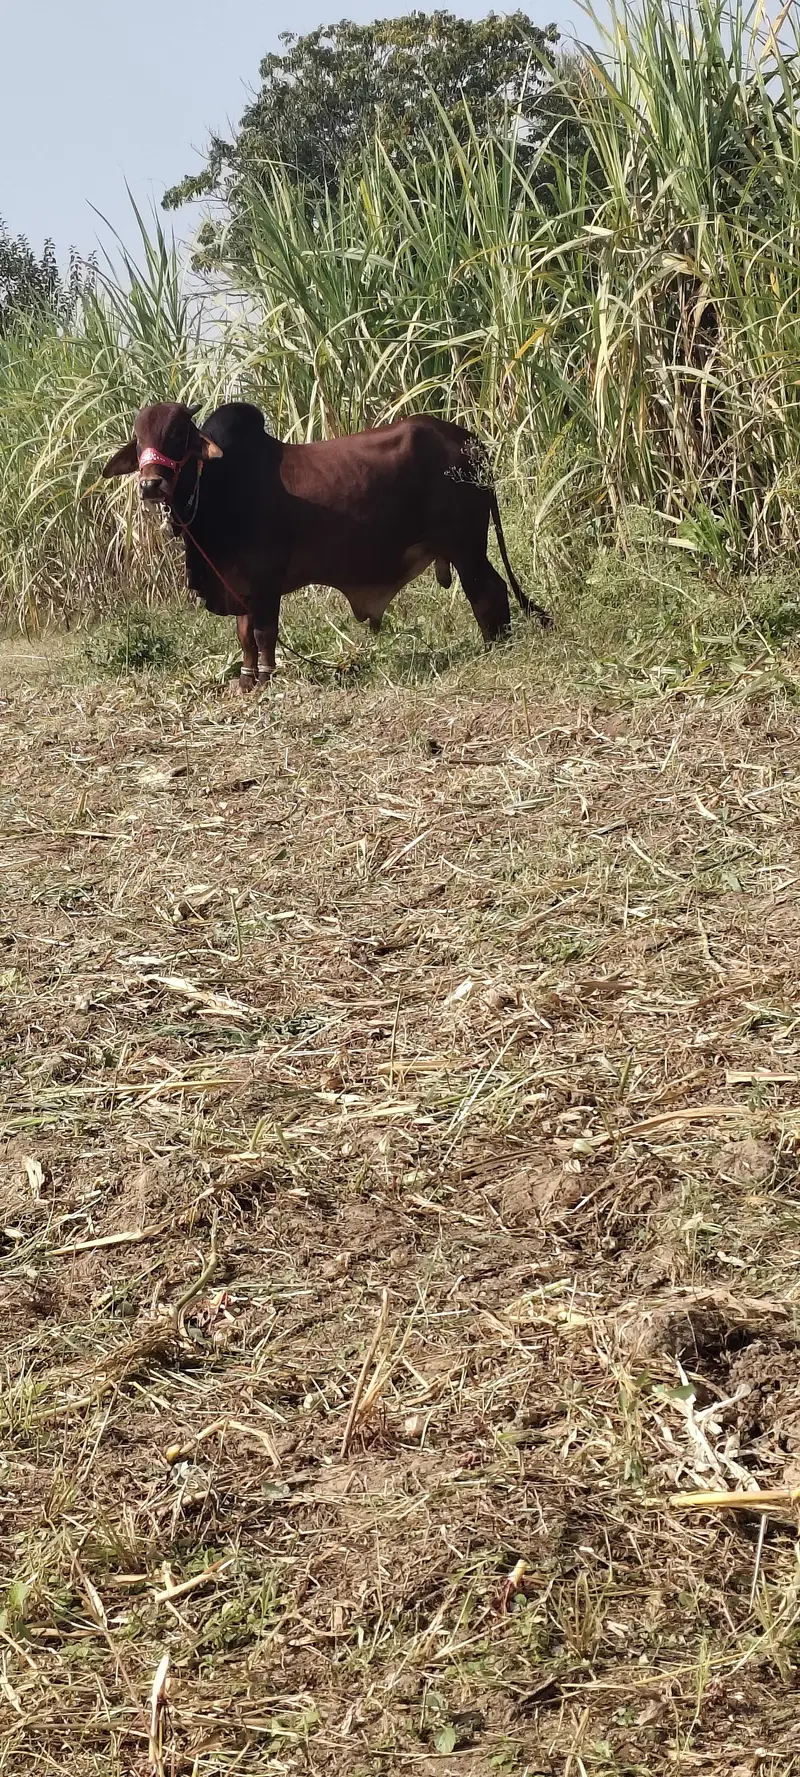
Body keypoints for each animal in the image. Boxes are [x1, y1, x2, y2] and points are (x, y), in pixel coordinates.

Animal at [102, 401, 550, 688]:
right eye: (138, 440)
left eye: (178, 434)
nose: (150, 484)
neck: (216, 486)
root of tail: (468, 439)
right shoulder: (239, 586)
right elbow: (244, 636)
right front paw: (245, 681)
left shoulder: (265, 582)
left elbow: (263, 633)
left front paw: (266, 679)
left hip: (466, 546)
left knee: (489, 592)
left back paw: (495, 647)